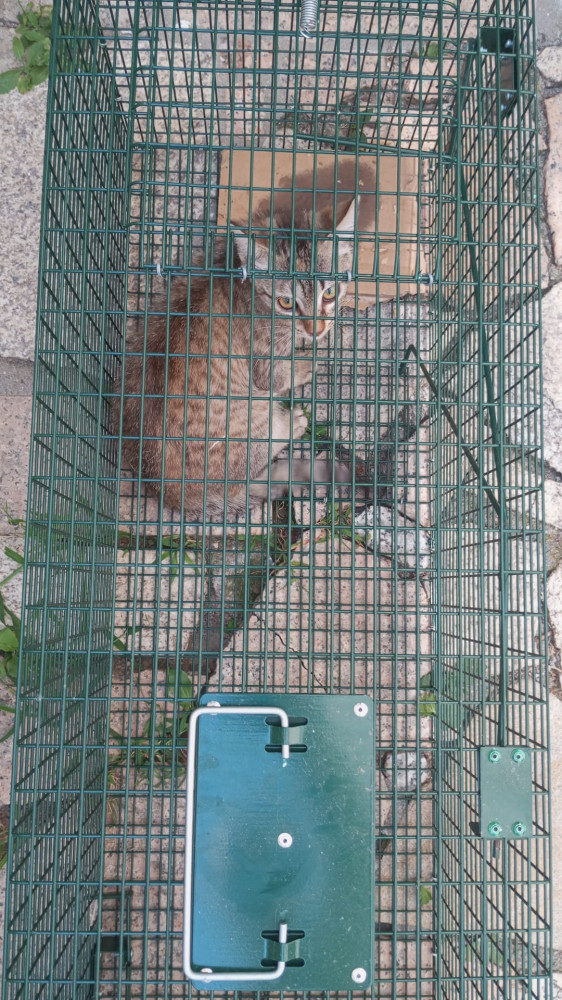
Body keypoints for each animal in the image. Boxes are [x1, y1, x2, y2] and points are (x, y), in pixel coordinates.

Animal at [115, 197, 359, 522]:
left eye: (330, 292)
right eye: (286, 302)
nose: (315, 329)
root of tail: (171, 493)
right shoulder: (265, 366)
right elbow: (285, 372)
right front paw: (311, 358)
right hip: (254, 411)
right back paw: (290, 423)